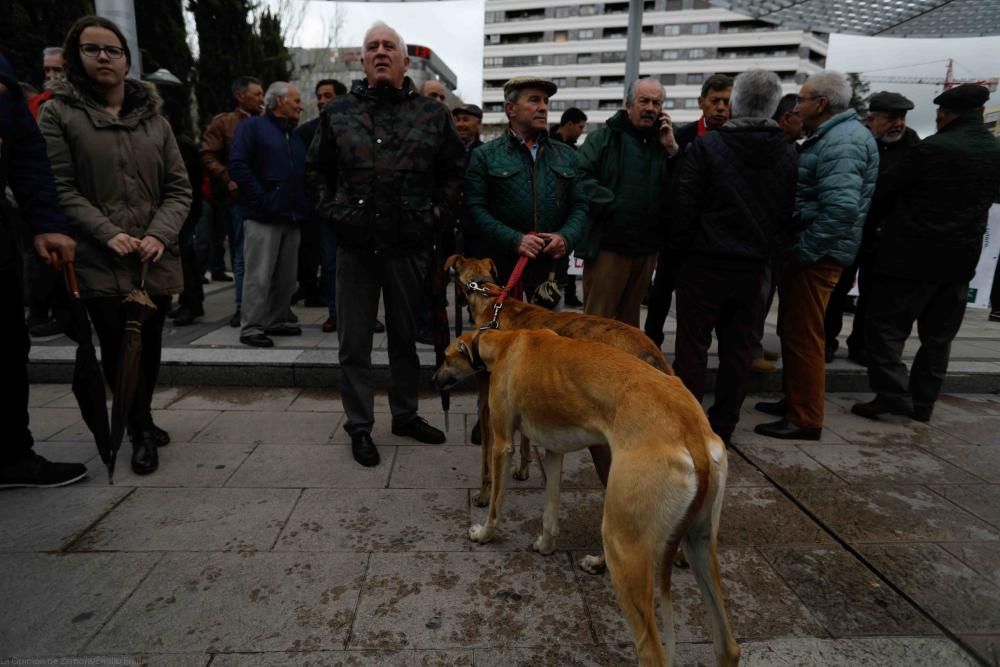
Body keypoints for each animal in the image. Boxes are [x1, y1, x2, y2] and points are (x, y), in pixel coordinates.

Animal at [434, 330, 740, 667]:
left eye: (445, 357)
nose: (434, 379)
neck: (504, 340)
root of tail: (692, 431)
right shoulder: (553, 449)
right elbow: (549, 513)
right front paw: (546, 545)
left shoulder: (502, 443)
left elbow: (495, 505)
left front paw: (484, 534)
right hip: (697, 540)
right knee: (728, 646)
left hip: (624, 540)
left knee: (652, 652)